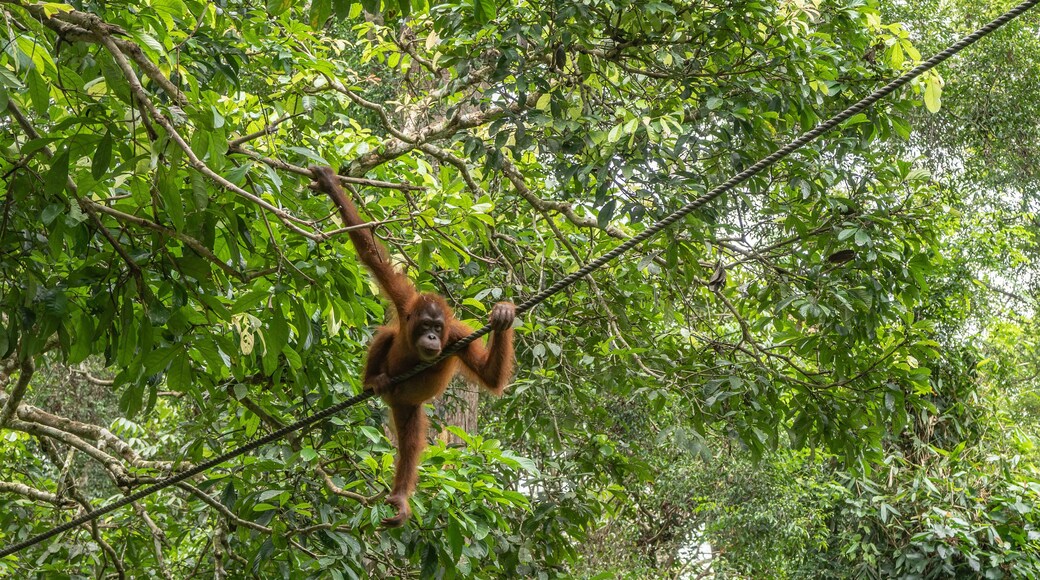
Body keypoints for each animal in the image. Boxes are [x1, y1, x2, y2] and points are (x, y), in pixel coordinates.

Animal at [309, 166, 516, 527]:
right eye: (425, 326)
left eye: (438, 328)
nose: (432, 338)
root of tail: (394, 397)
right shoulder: (406, 302)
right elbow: (370, 253)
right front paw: (331, 185)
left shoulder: (456, 336)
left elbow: (489, 376)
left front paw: (503, 314)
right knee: (386, 337)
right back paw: (373, 381)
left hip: (410, 407)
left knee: (410, 444)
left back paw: (402, 496)